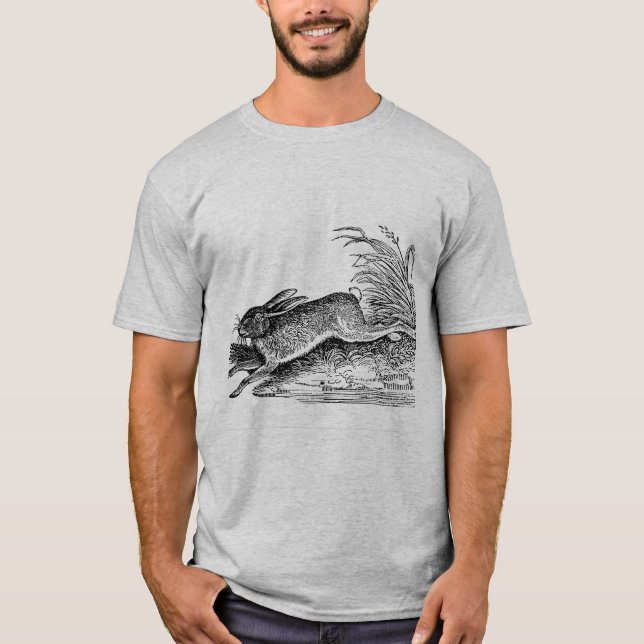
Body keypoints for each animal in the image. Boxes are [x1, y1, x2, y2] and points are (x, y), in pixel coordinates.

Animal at [229, 288, 415, 398]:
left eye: (259, 317)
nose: (240, 330)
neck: (267, 329)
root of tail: (354, 298)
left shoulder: (271, 363)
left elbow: (247, 379)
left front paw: (234, 394)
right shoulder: (262, 359)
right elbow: (242, 364)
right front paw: (230, 373)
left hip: (351, 331)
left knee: (394, 323)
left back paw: (411, 333)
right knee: (379, 326)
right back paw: (395, 337)